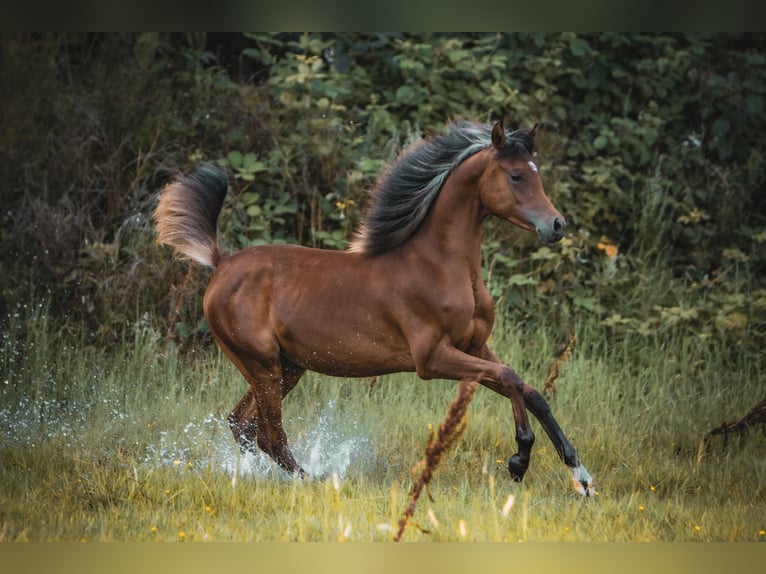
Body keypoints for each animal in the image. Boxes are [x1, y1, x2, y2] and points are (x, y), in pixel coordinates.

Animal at [156, 120, 596, 496]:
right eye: (516, 175)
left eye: (536, 174)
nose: (556, 225)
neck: (442, 266)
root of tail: (221, 263)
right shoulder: (432, 359)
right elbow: (510, 378)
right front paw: (519, 461)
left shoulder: (474, 347)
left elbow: (530, 391)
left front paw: (581, 477)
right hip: (262, 364)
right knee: (268, 433)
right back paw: (315, 481)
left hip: (287, 366)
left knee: (243, 424)